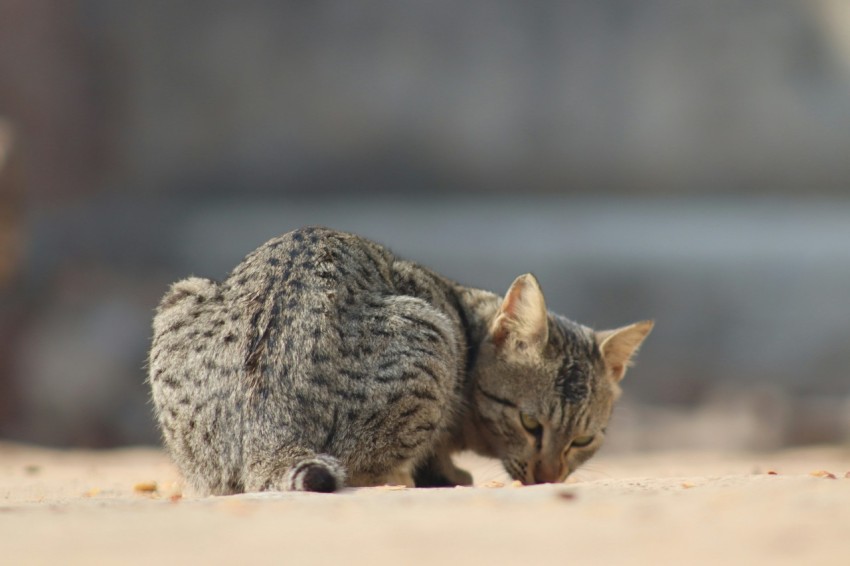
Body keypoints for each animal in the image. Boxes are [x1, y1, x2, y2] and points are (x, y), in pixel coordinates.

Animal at [147, 229, 648, 494]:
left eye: (583, 440)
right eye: (529, 424)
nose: (550, 478)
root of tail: (271, 430)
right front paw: (446, 473)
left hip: (178, 298)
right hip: (429, 336)